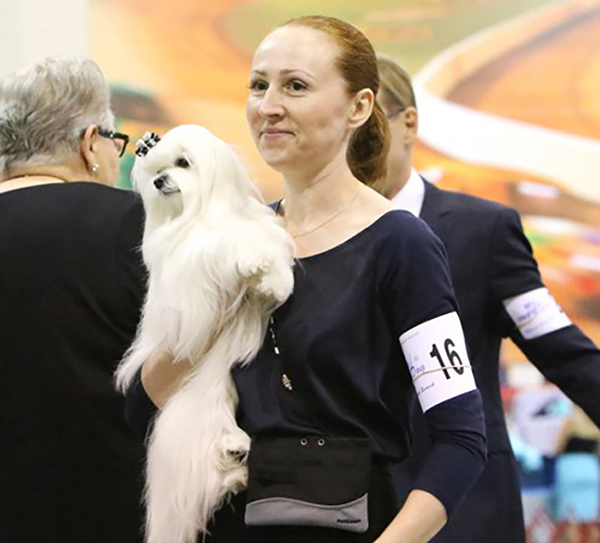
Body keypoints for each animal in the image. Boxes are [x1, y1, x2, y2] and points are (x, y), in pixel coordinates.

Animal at [116, 125, 294, 543]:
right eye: (156, 170)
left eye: (183, 163)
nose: (160, 181)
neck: (198, 217)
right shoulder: (188, 264)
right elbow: (217, 249)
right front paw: (247, 260)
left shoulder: (258, 228)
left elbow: (266, 253)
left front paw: (273, 280)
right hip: (193, 405)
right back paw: (233, 454)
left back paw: (236, 457)